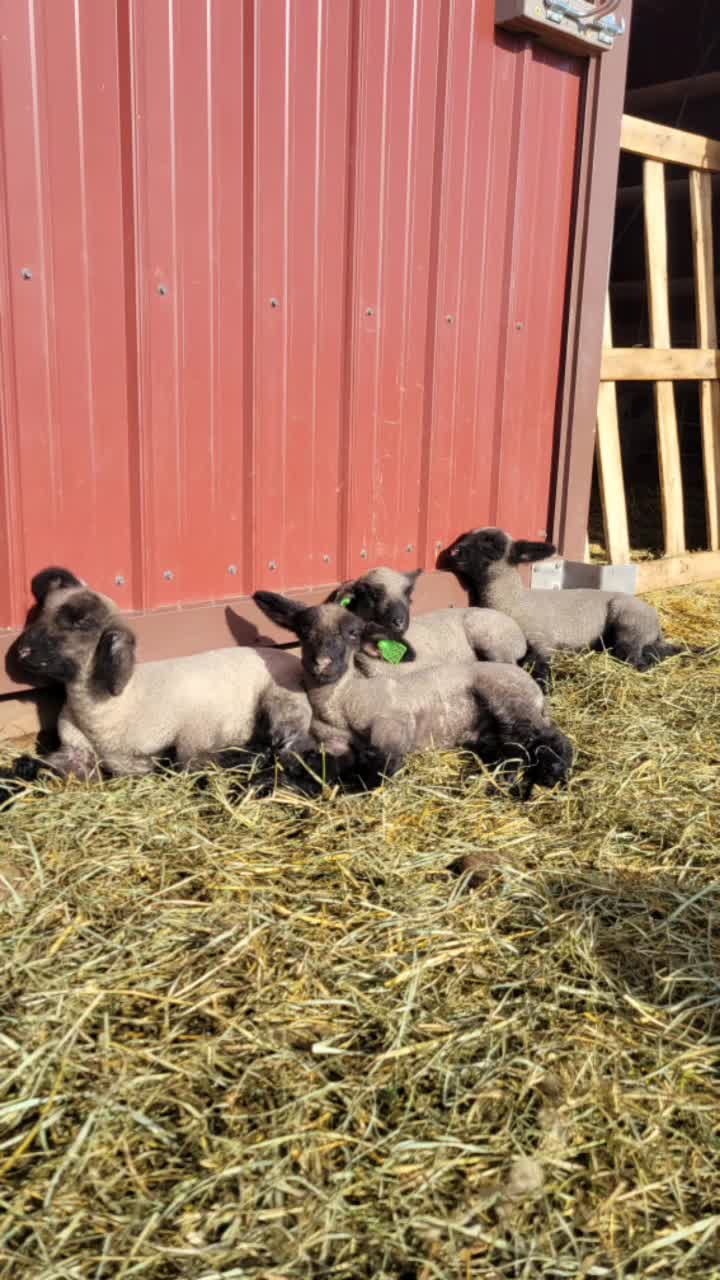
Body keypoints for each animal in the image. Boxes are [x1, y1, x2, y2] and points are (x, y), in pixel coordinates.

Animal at [13, 567, 314, 779]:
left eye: (81, 623)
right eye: (42, 613)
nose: (21, 652)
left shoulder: (194, 738)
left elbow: (191, 762)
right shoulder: (75, 753)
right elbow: (37, 765)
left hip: (283, 702)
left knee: (284, 742)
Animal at [252, 591, 574, 794]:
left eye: (352, 634)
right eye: (303, 632)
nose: (321, 663)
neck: (344, 701)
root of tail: (534, 689)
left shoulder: (394, 726)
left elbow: (376, 772)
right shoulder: (333, 745)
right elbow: (321, 766)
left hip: (510, 700)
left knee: (553, 739)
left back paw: (552, 773)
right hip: (495, 730)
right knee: (516, 747)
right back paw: (505, 778)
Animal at [439, 527, 680, 688]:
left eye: (491, 545)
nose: (454, 552)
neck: (514, 601)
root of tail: (656, 621)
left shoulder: (542, 639)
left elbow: (539, 663)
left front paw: (544, 685)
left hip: (629, 620)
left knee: (632, 654)